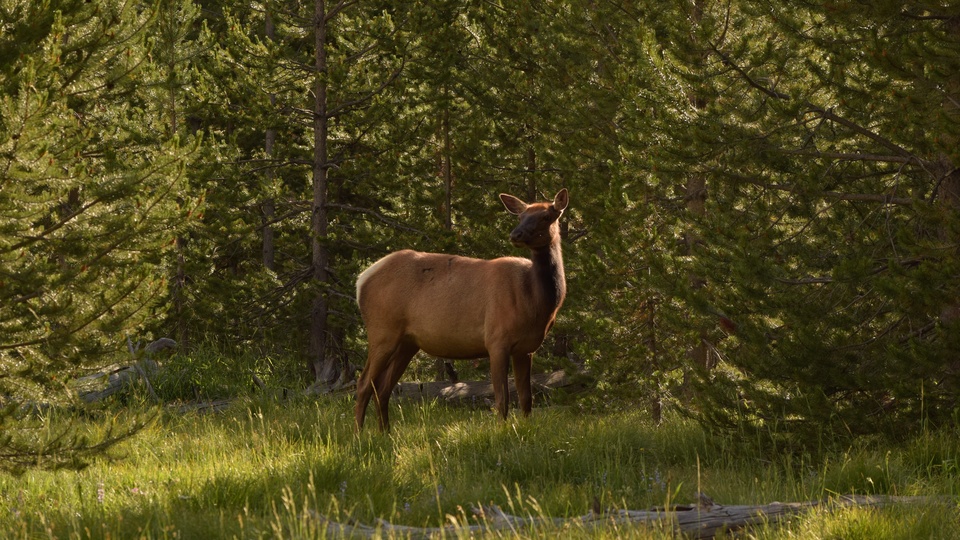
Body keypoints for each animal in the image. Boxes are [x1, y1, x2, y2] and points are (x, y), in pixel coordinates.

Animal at [358, 188, 568, 432]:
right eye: (520, 216)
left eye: (546, 216)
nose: (516, 234)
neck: (535, 303)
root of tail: (361, 280)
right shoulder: (496, 339)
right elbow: (502, 399)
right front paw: (501, 431)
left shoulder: (526, 348)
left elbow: (526, 399)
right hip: (382, 331)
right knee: (364, 384)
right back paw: (359, 434)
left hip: (407, 342)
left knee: (383, 388)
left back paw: (385, 433)